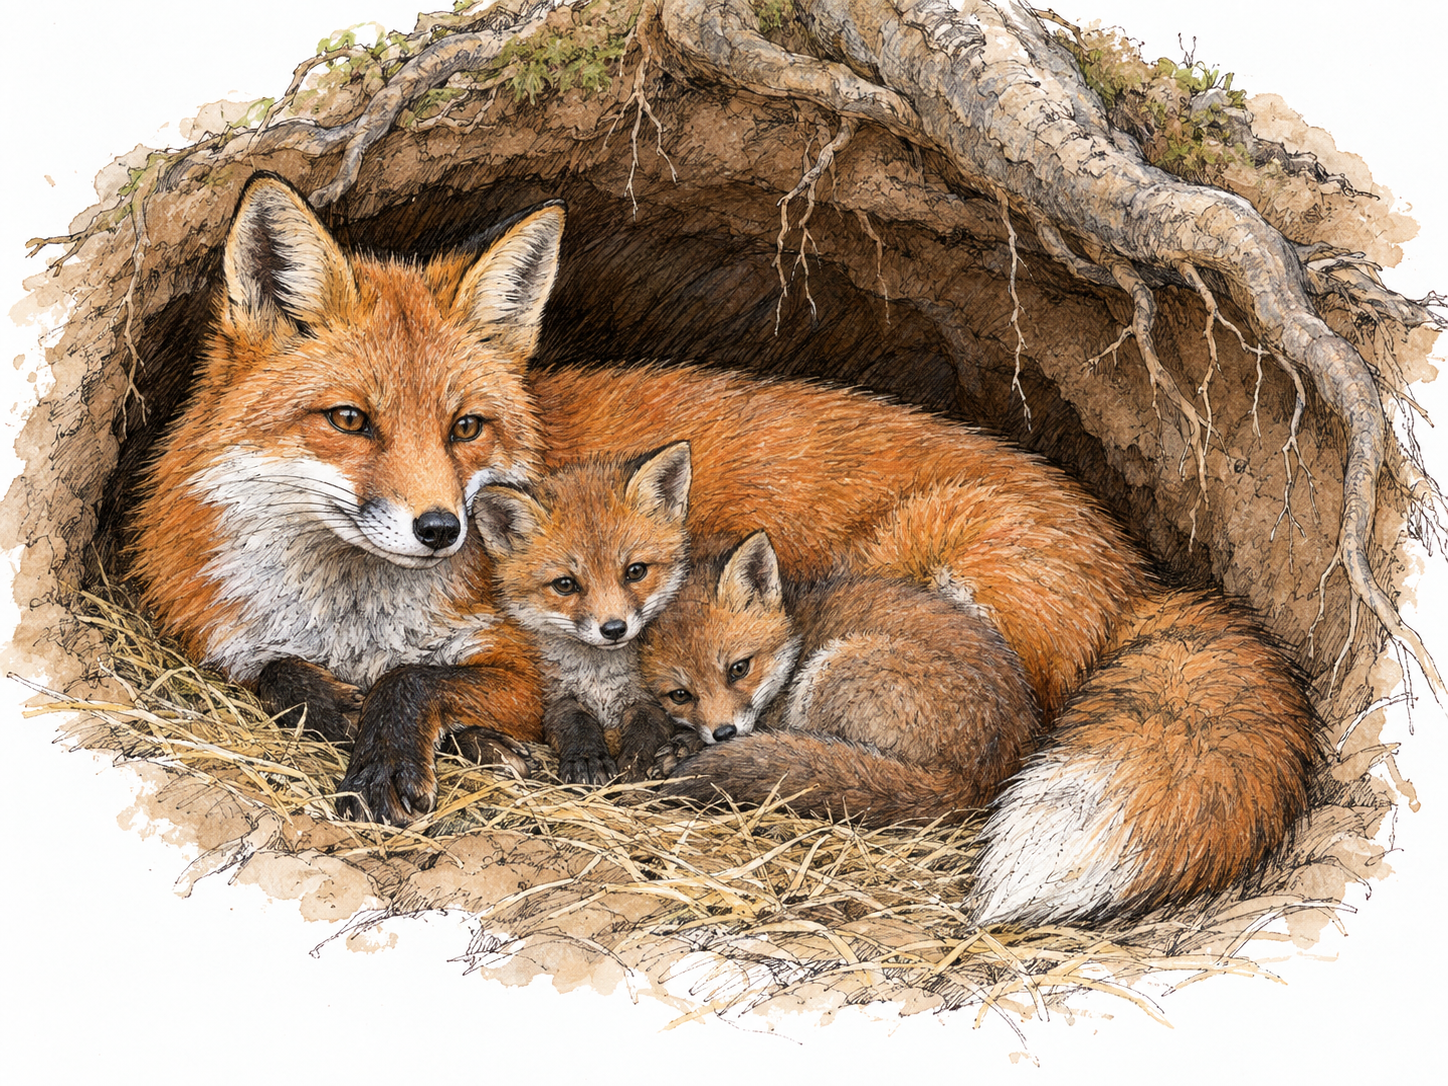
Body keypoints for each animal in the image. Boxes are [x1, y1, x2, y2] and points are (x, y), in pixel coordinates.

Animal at [472, 444, 691, 783]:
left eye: (636, 571)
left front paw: (636, 764)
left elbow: (647, 729)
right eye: (565, 584)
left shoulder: (651, 698)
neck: (600, 680)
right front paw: (587, 759)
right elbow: (573, 721)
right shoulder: (553, 695)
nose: (614, 629)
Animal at [639, 530, 1039, 825]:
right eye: (680, 695)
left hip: (831, 672)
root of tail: (976, 779)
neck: (798, 640)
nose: (724, 733)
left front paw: (686, 749)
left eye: (739, 669)